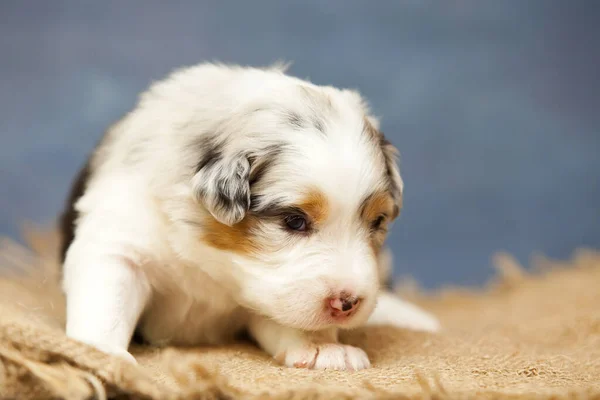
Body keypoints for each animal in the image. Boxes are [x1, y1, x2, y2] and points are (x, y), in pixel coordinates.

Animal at [58, 63, 438, 372]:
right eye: (294, 220)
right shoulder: (119, 239)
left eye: (377, 223)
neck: (213, 261)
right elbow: (108, 300)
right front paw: (101, 353)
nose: (348, 304)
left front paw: (323, 347)